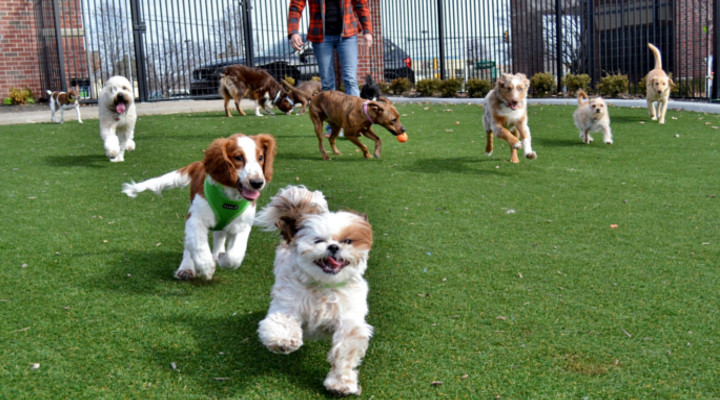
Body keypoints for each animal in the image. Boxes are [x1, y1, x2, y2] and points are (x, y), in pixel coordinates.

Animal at [124, 133, 276, 280]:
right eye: (238, 157)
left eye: (261, 157)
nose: (257, 183)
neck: (229, 196)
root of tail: (200, 164)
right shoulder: (195, 219)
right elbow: (199, 246)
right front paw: (206, 268)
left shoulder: (243, 224)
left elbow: (234, 256)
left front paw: (222, 258)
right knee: (189, 245)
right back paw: (186, 267)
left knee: (219, 235)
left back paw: (217, 254)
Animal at [255, 185, 376, 396]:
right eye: (318, 240)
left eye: (347, 241)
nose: (334, 246)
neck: (324, 287)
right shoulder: (288, 301)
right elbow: (282, 321)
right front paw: (284, 340)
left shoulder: (349, 321)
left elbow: (345, 352)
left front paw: (340, 383)